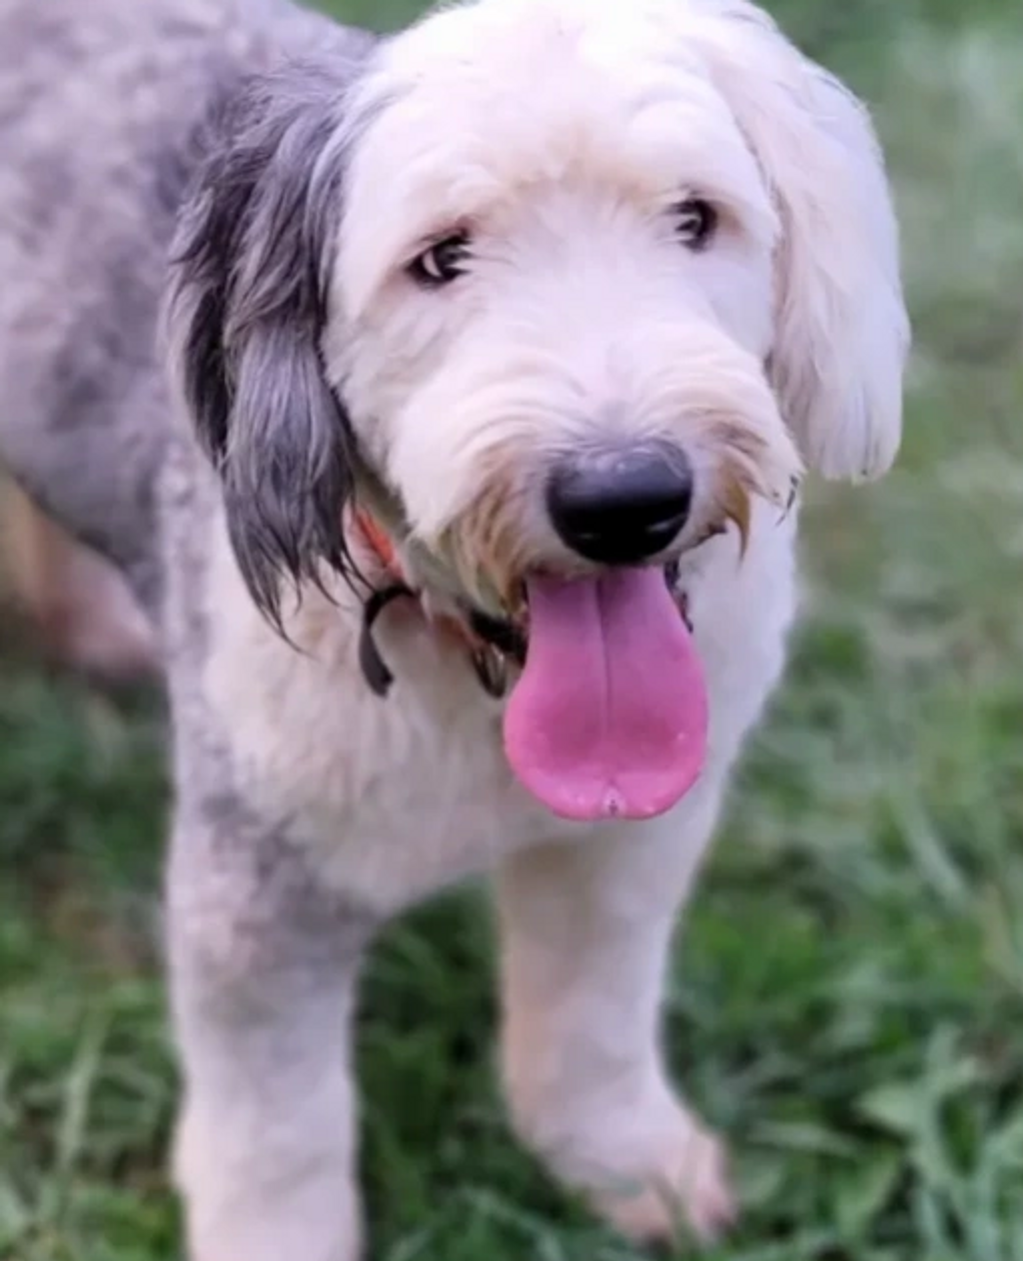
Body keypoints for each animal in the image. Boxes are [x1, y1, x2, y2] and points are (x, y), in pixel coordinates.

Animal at [0, 0, 913, 1255]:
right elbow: (274, 1123)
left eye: (694, 217)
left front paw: (627, 1165)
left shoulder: (634, 838)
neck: (479, 671)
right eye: (441, 257)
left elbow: (595, 1006)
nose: (625, 497)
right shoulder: (260, 879)